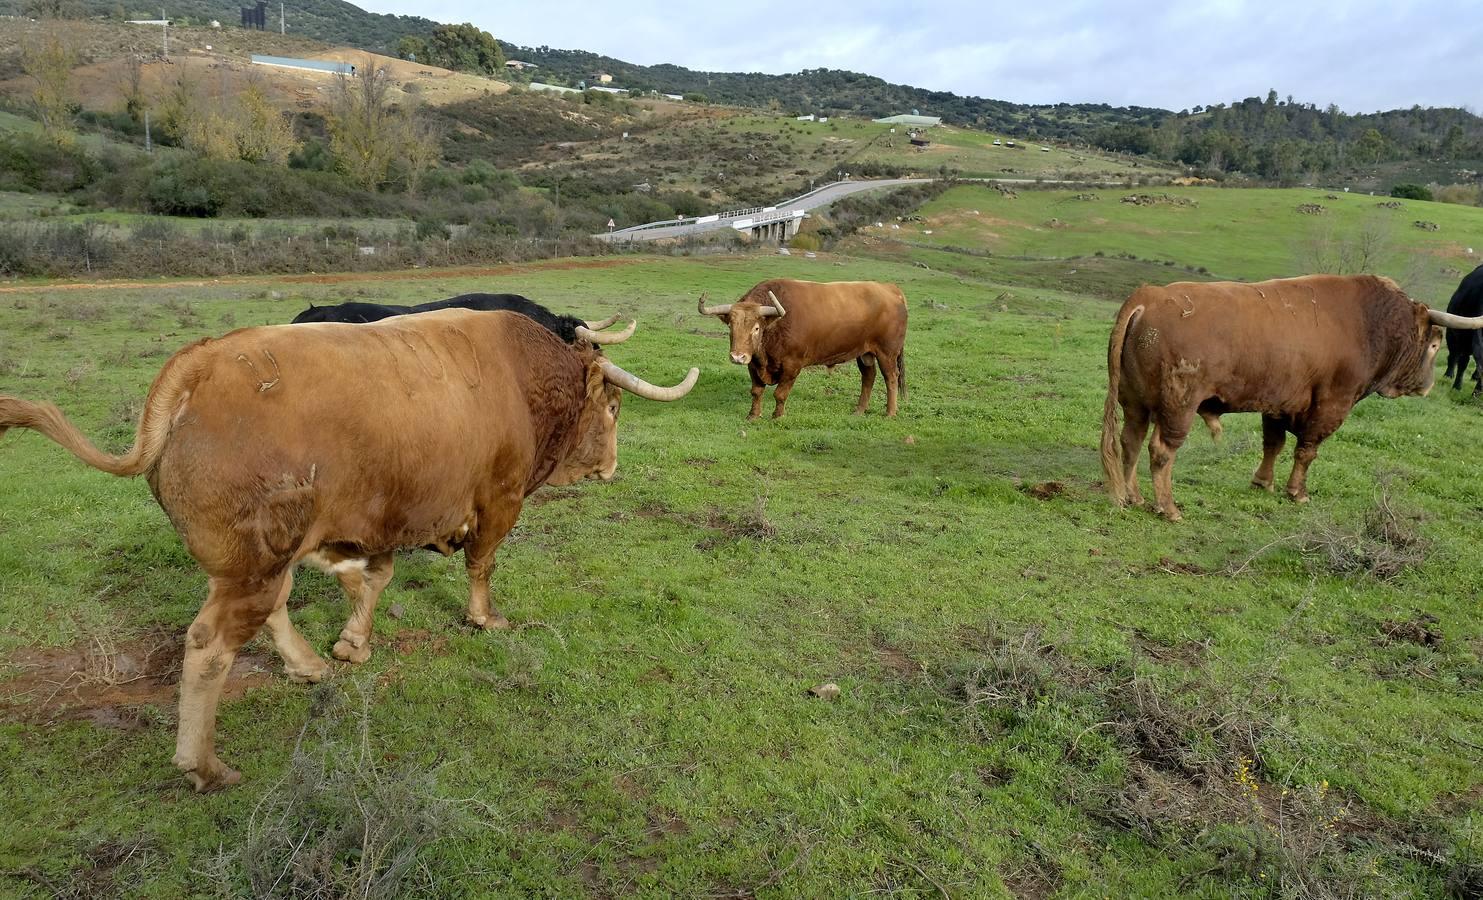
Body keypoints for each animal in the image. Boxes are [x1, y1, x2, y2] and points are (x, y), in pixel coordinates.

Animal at [0, 312, 699, 794]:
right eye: (613, 406)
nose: (611, 466)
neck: (525, 381)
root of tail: (199, 364)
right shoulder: (498, 499)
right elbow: (481, 565)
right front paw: (484, 619)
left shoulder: (374, 522)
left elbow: (374, 577)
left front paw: (351, 643)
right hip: (255, 562)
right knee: (210, 647)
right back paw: (204, 764)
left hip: (263, 556)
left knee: (272, 607)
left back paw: (307, 665)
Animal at [699, 278, 907, 418]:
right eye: (731, 326)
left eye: (756, 328)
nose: (737, 357)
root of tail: (890, 288)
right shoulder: (754, 364)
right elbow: (757, 391)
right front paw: (753, 415)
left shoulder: (792, 365)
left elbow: (780, 394)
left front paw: (777, 416)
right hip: (864, 352)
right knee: (868, 377)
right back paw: (859, 410)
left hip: (887, 352)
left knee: (890, 378)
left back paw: (890, 412)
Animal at [1097, 274, 1477, 521]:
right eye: (1434, 343)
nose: (1427, 385)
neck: (1370, 323)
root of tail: (1149, 297)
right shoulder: (1331, 405)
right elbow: (1306, 452)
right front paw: (1297, 492)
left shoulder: (1278, 403)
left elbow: (1273, 444)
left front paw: (1262, 482)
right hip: (1179, 406)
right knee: (1161, 451)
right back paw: (1168, 508)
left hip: (1136, 403)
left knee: (1130, 442)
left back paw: (1134, 496)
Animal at [1447, 266, 1483, 394]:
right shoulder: (1465, 336)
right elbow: (1463, 362)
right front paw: (1457, 387)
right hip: (1451, 334)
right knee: (1453, 355)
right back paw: (1448, 375)